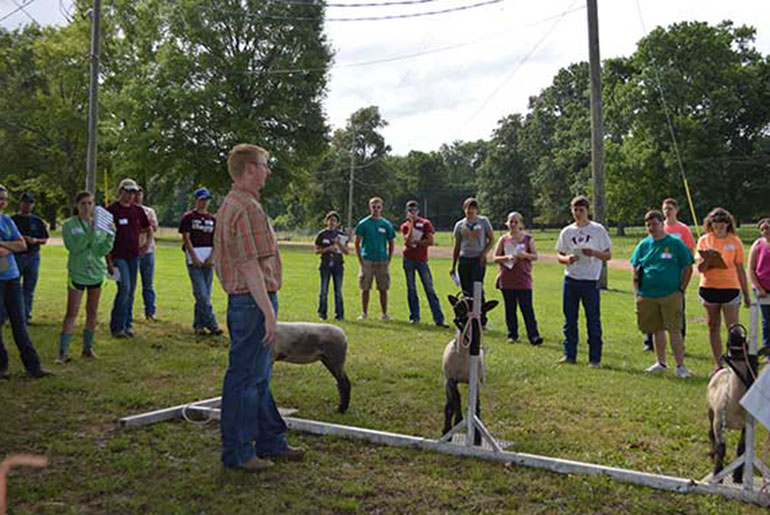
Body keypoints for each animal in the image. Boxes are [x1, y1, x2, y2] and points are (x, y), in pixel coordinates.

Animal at [440, 296, 500, 446]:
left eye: (482, 311)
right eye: (457, 307)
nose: (464, 320)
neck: (463, 356)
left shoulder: (475, 383)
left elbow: (476, 408)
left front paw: (477, 439)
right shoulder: (450, 380)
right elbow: (456, 402)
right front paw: (455, 423)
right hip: (447, 383)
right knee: (449, 406)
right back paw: (447, 431)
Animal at [704, 324, 760, 486]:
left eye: (746, 342)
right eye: (728, 341)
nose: (735, 329)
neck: (736, 399)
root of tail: (722, 369)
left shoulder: (746, 426)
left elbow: (741, 450)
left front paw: (738, 477)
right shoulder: (718, 422)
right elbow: (721, 448)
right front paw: (718, 475)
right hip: (710, 411)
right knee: (710, 434)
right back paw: (712, 453)